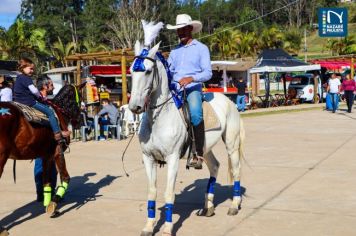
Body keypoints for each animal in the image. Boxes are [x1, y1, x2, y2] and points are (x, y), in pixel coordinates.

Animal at [0, 85, 80, 232]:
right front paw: (54, 203)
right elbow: (65, 177)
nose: (79, 119)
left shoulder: (46, 156)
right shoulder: (57, 152)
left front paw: (48, 205)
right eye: (80, 96)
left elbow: (46, 182)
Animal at [129, 42, 245, 236]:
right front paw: (149, 226)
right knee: (215, 166)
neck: (158, 119)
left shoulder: (173, 158)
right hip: (204, 149)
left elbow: (169, 194)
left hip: (232, 144)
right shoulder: (148, 159)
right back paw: (208, 207)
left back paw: (234, 206)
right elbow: (152, 192)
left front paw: (167, 229)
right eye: (131, 71)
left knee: (236, 171)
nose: (134, 107)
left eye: (148, 71)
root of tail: (230, 101)